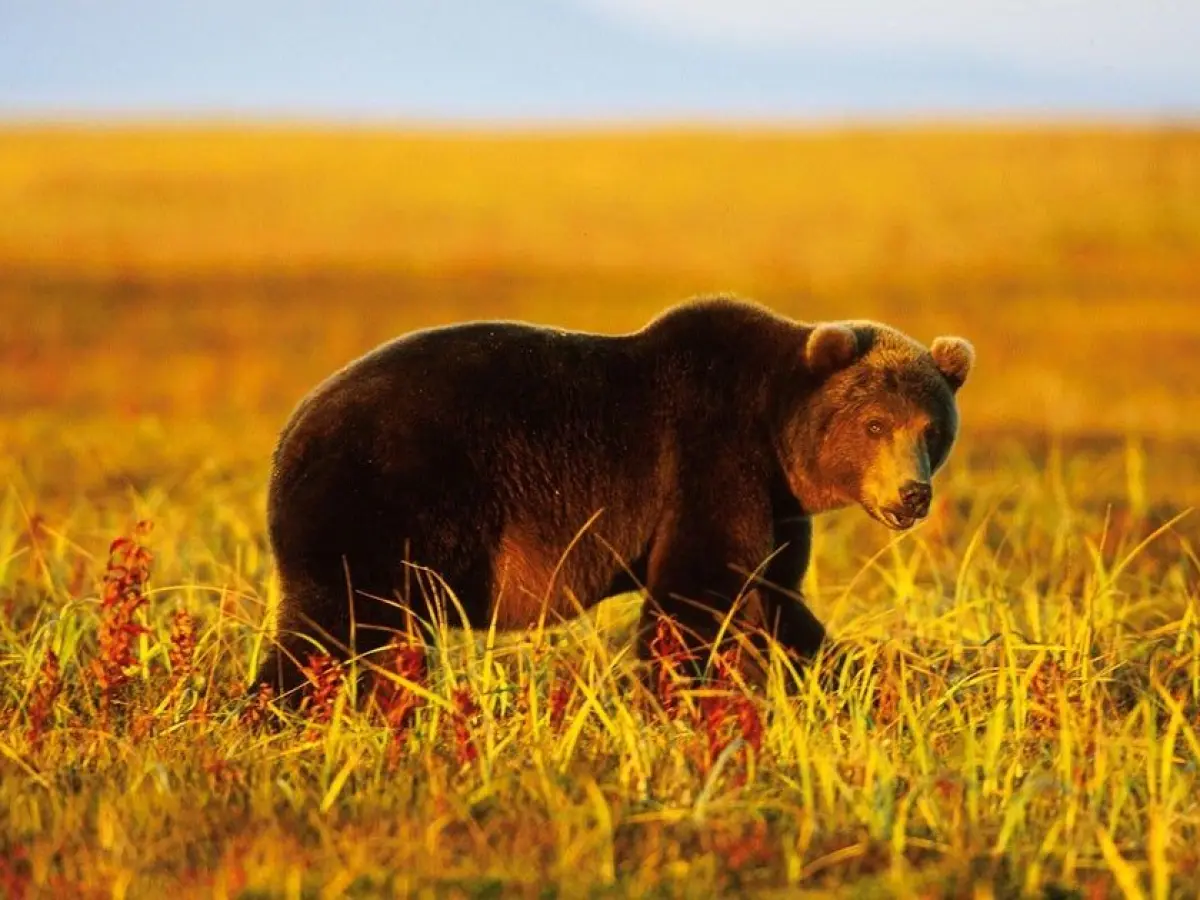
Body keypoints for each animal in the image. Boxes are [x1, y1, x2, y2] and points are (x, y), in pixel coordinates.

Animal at [256, 296, 973, 700]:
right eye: (875, 425)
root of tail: (291, 430)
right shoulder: (709, 457)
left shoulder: (777, 506)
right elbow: (696, 592)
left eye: (932, 429)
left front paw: (845, 679)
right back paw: (284, 709)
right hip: (379, 495)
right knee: (337, 621)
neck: (774, 434)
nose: (912, 495)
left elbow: (774, 600)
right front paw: (674, 698)